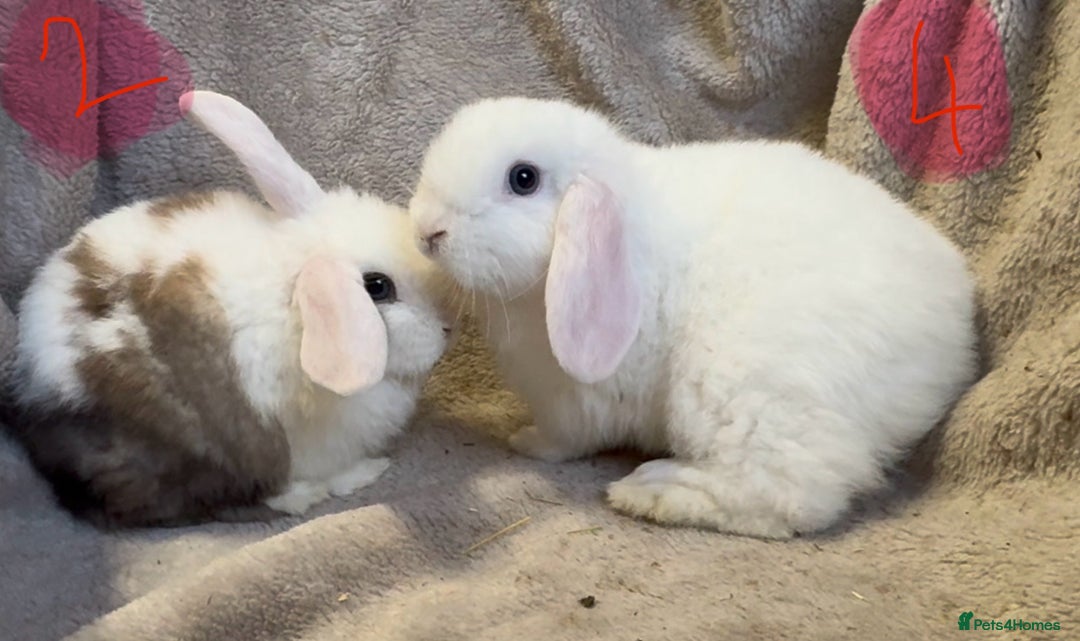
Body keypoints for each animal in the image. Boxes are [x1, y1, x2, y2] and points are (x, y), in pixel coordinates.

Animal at [408, 96, 979, 539]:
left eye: (523, 179)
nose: (426, 231)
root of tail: (953, 344)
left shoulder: (572, 399)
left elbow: (564, 440)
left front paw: (525, 442)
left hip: (745, 386)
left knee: (795, 495)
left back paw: (653, 490)